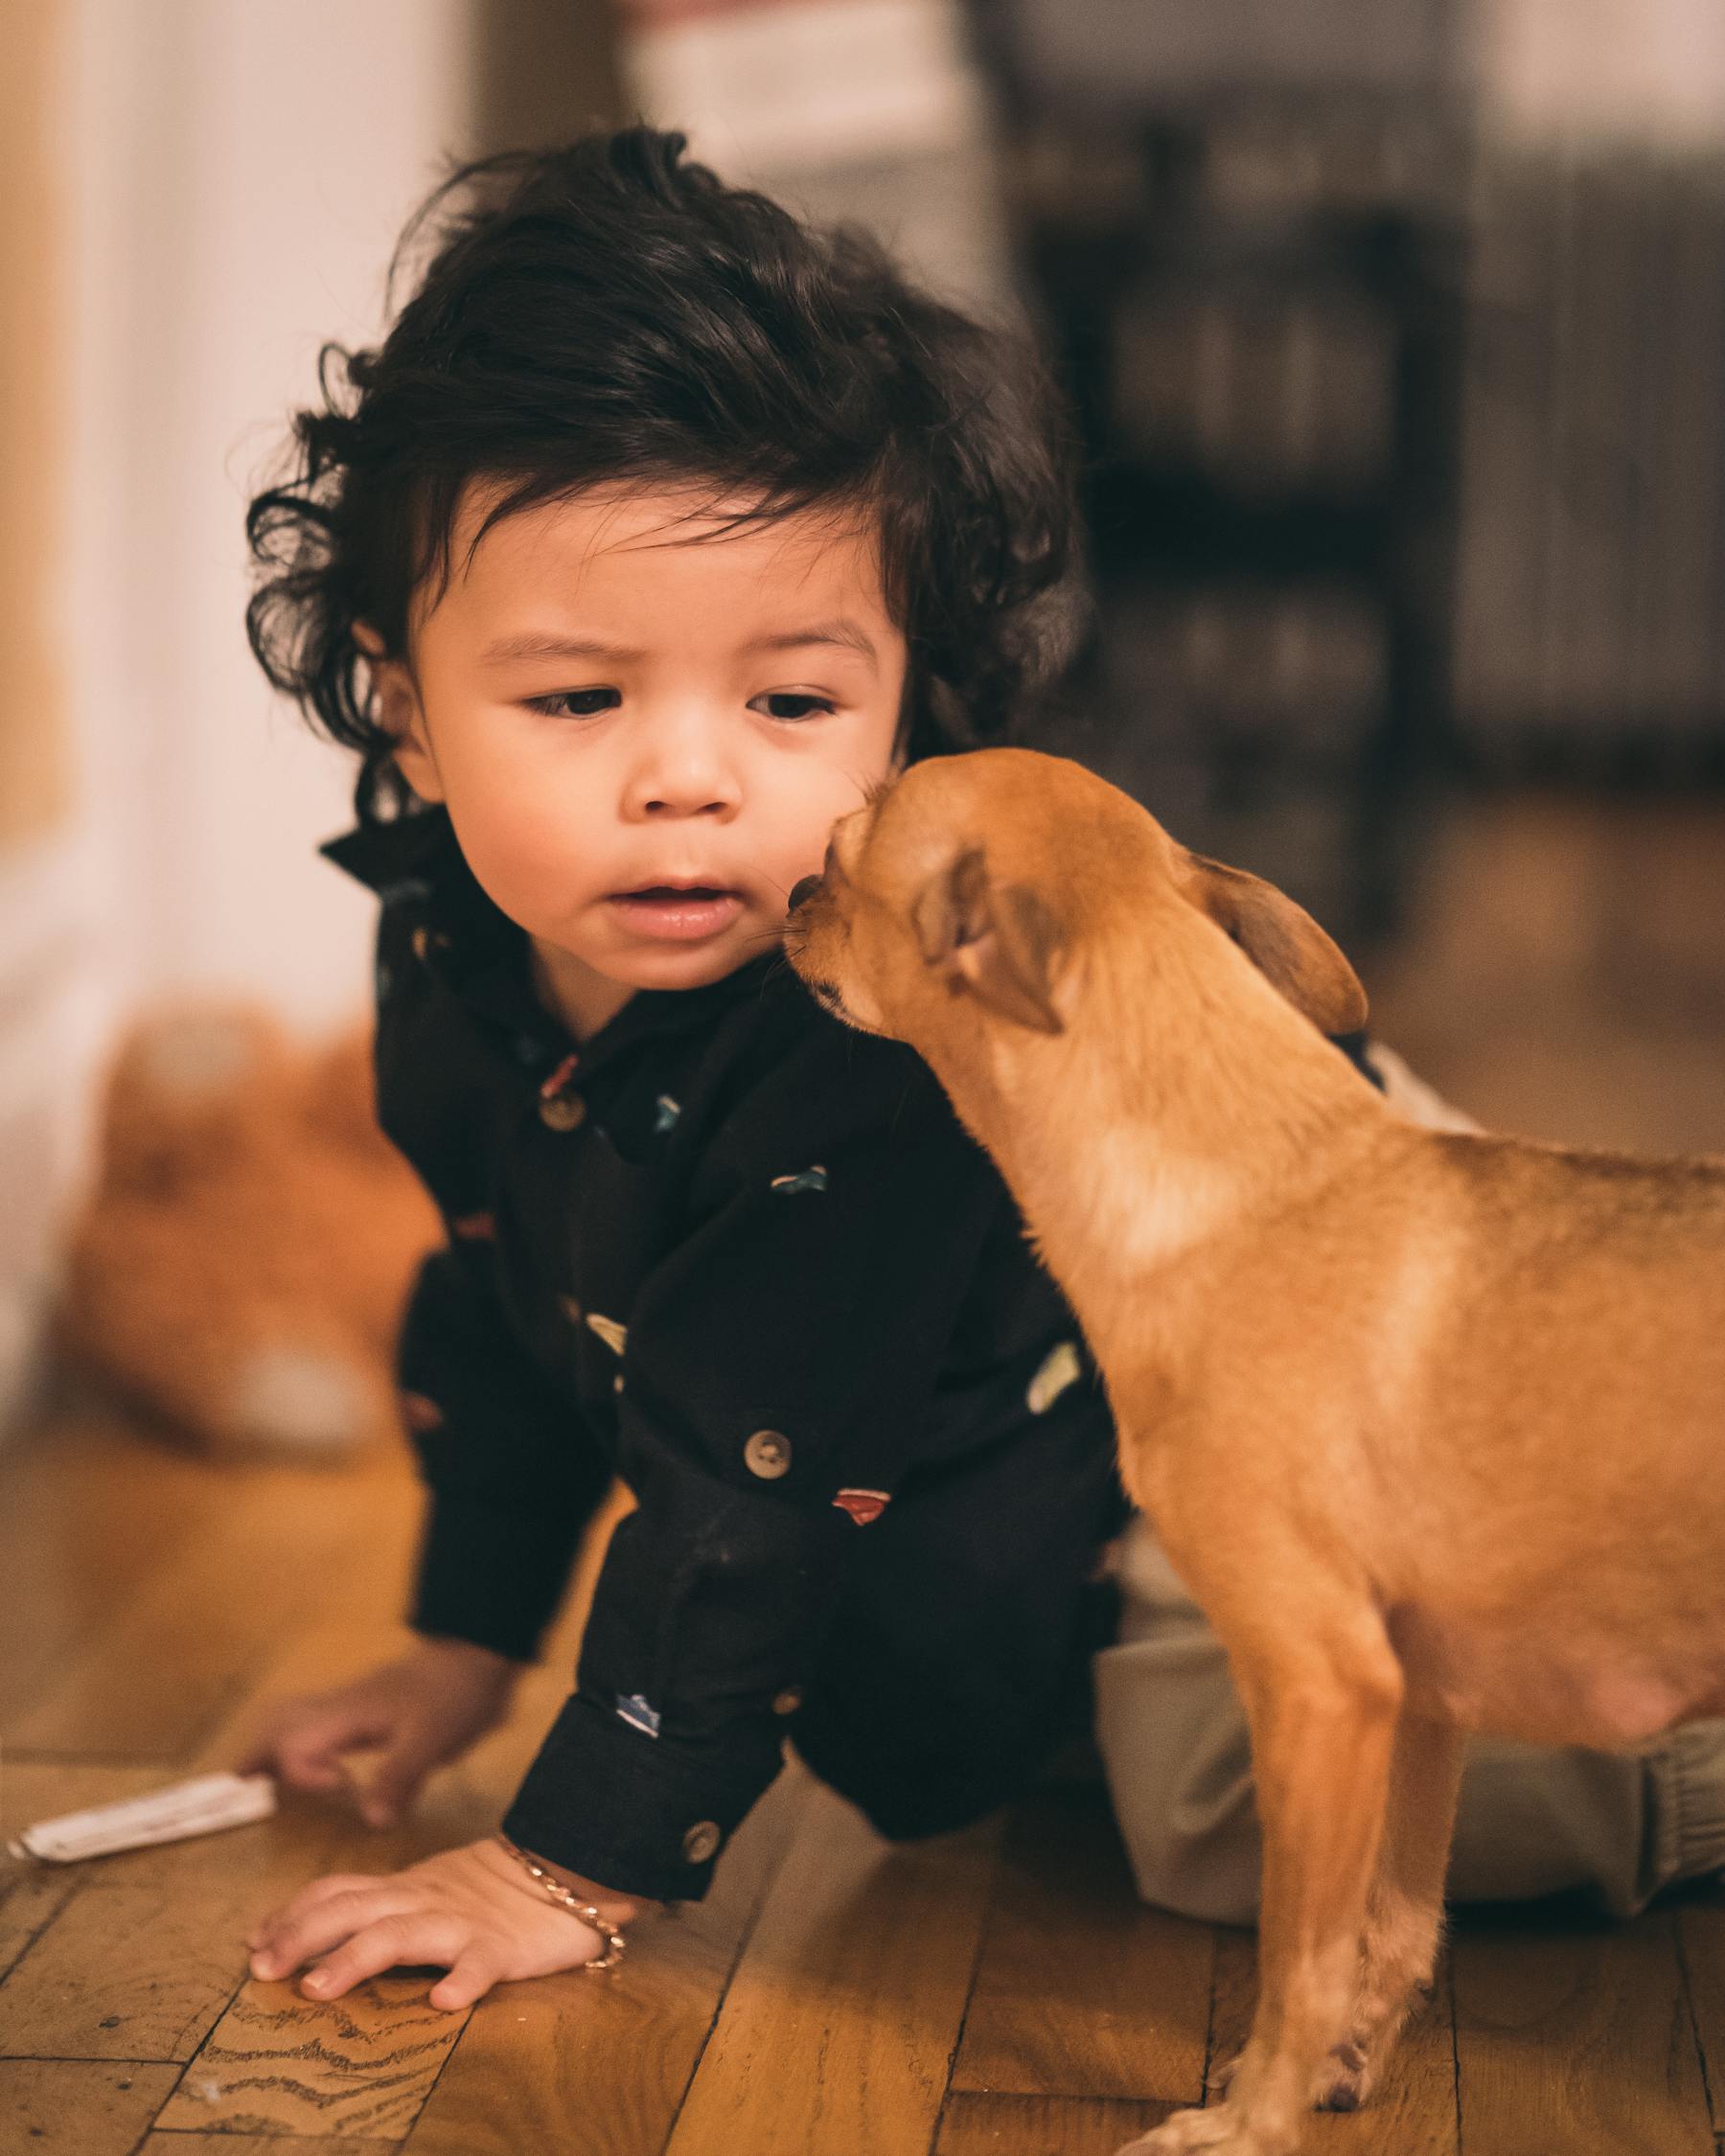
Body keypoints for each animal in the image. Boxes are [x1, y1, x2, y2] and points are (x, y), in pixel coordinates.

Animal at [785, 750, 1725, 2156]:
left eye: (845, 855)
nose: (790, 891)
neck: (1247, 1180)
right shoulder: (1419, 1704)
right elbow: (1391, 1924)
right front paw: (1344, 2070)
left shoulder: (1319, 1687)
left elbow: (1299, 1953)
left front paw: (1248, 2122)